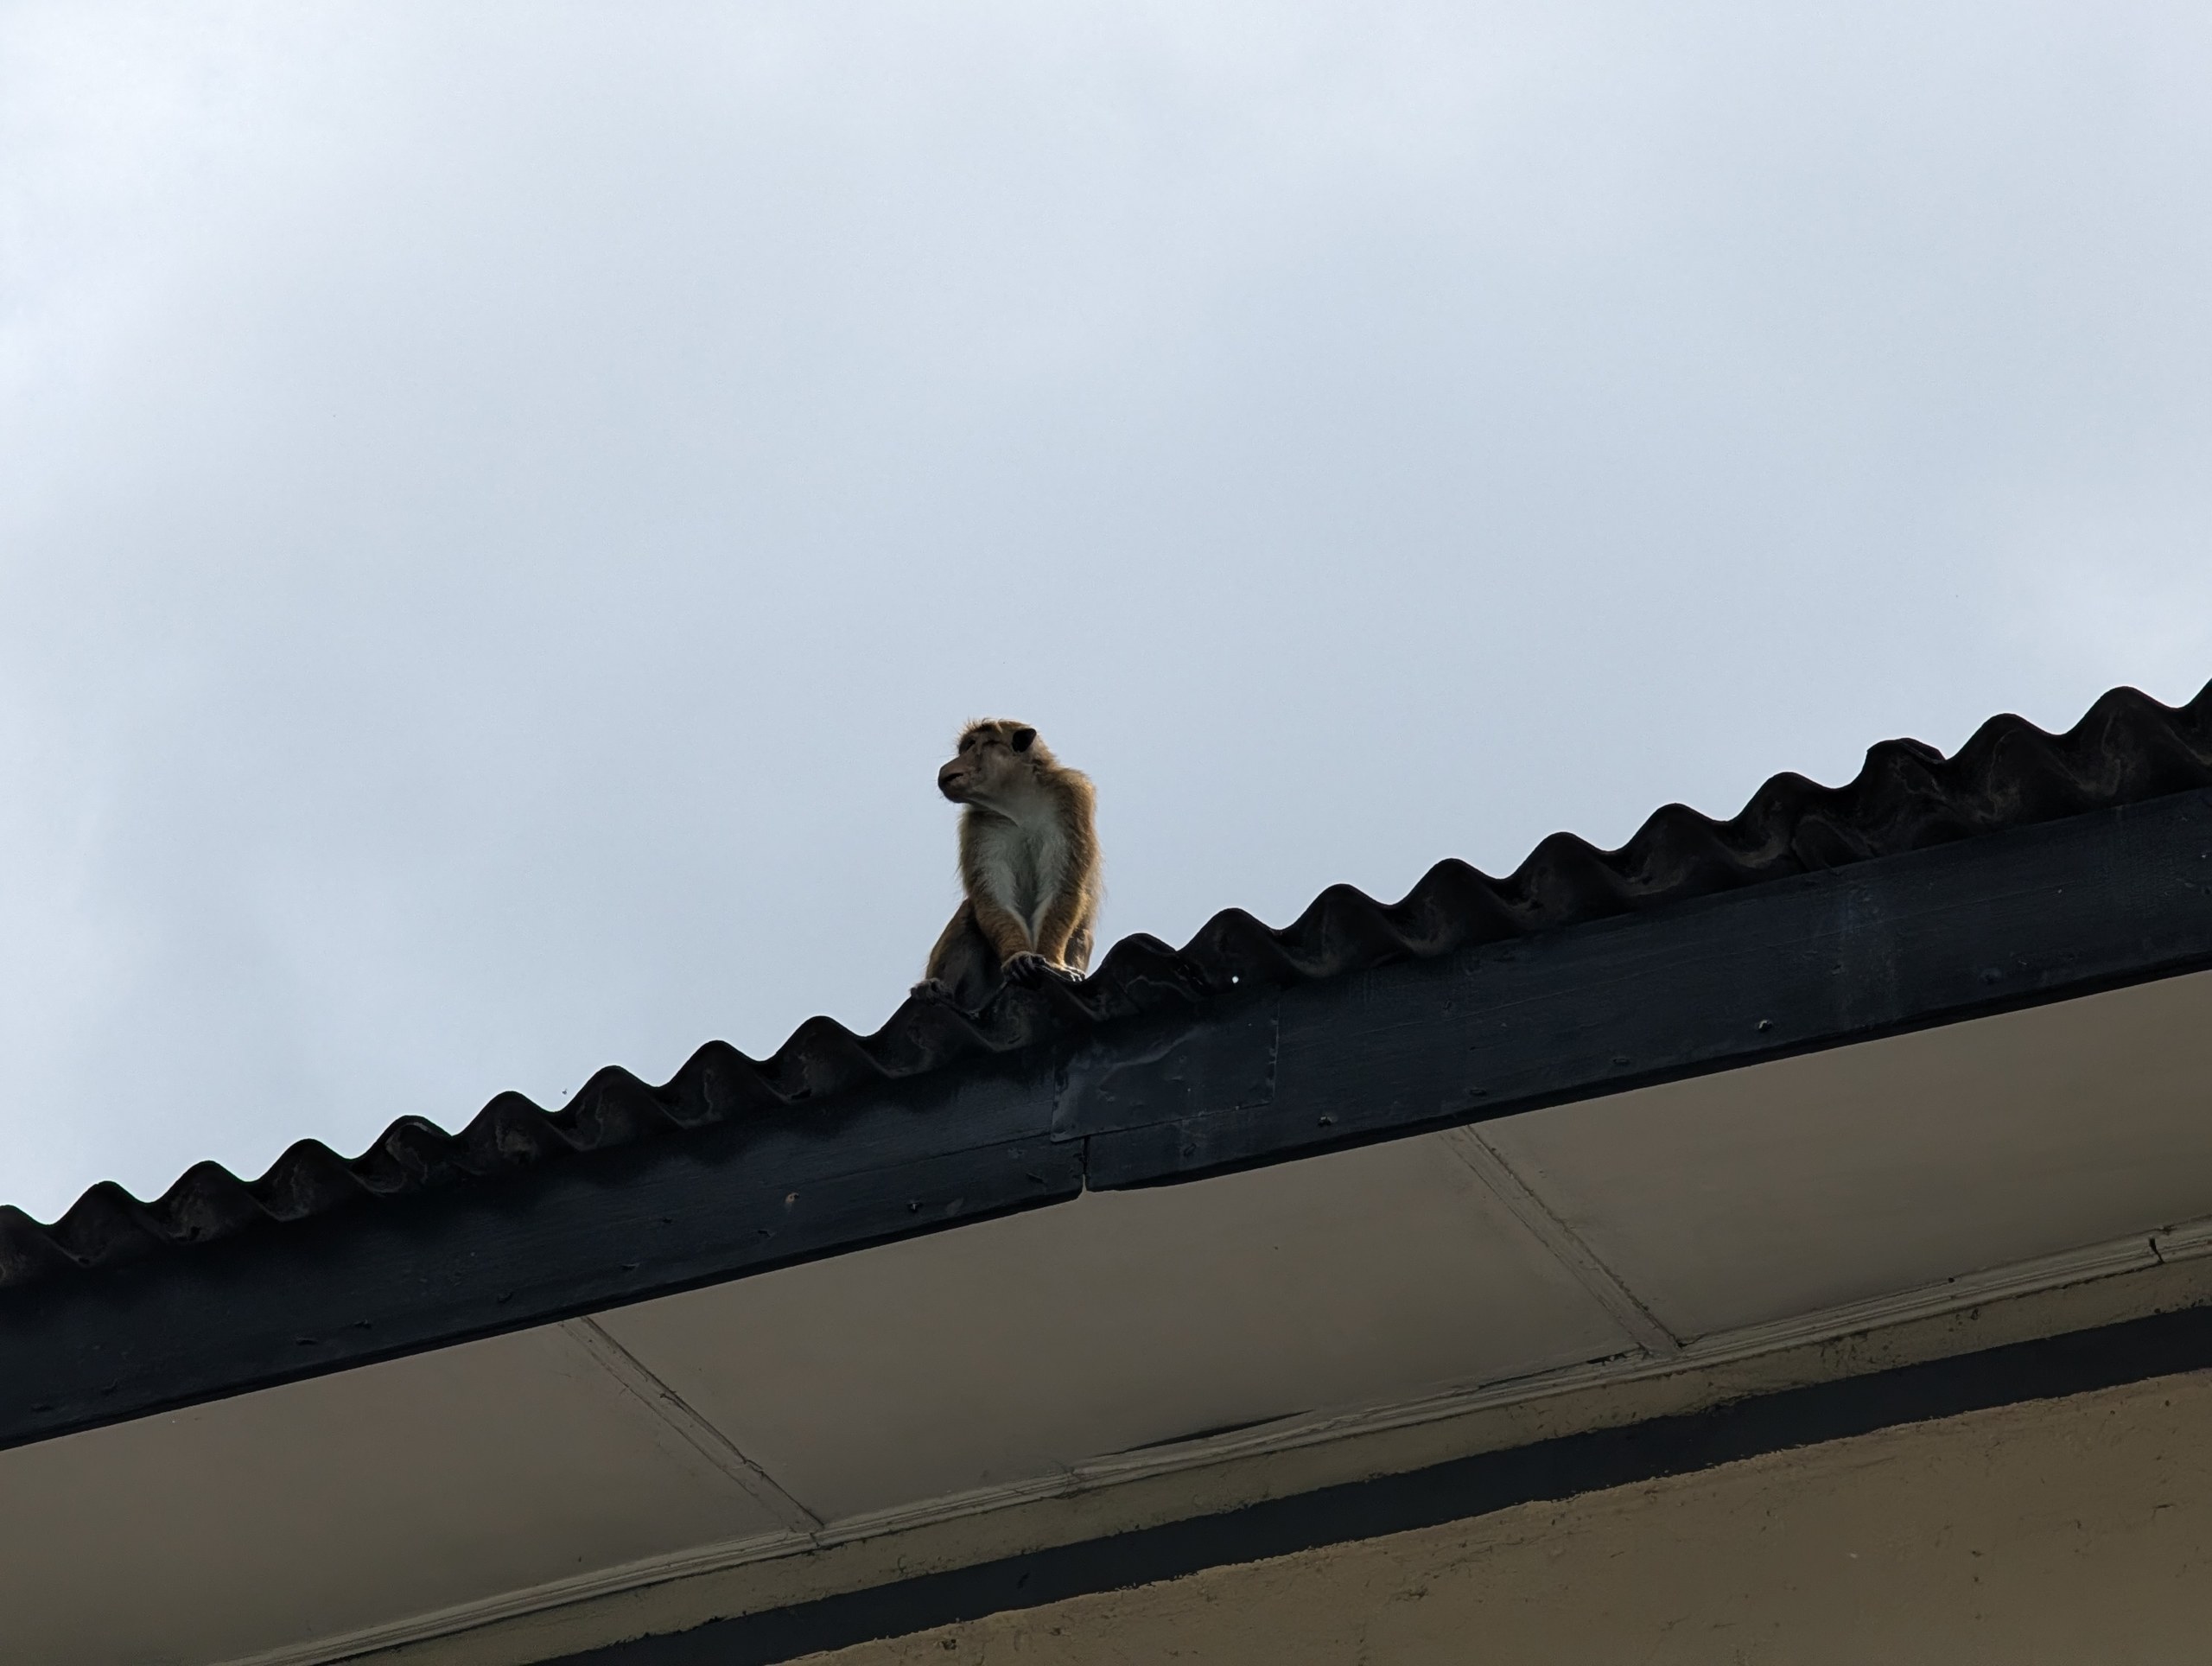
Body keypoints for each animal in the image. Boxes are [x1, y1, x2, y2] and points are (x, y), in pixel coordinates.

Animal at [912, 720, 1101, 1009]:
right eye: (965, 747)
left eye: (973, 746)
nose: (949, 767)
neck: (1019, 801)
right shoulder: (980, 825)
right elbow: (993, 899)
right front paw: (1018, 957)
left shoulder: (1071, 800)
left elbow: (1062, 888)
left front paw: (1052, 962)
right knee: (970, 911)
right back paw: (933, 986)